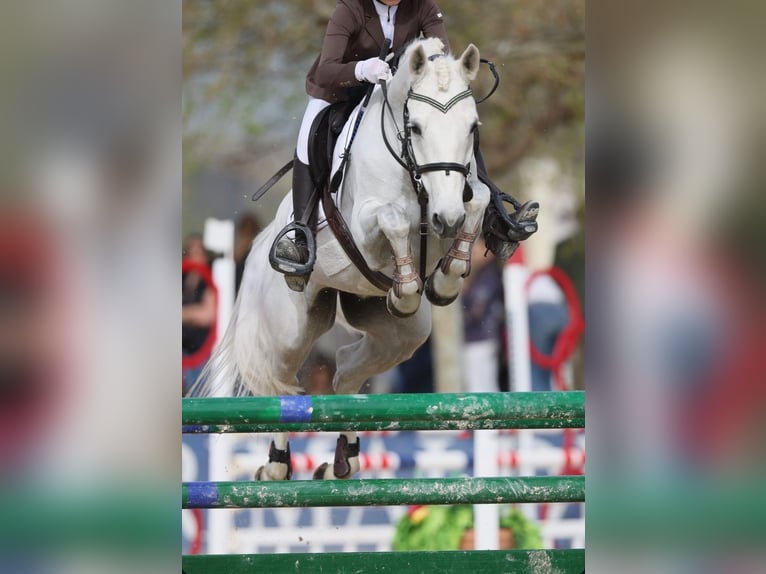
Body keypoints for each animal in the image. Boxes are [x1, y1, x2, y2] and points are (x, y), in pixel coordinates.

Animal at [195, 38, 491, 480]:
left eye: (472, 128)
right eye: (416, 128)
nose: (446, 219)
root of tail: (263, 243)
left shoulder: (461, 198)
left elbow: (480, 201)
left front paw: (443, 279)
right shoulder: (364, 229)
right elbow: (394, 219)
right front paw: (408, 287)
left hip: (400, 334)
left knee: (346, 370)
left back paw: (344, 456)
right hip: (290, 332)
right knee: (281, 388)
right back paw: (276, 466)